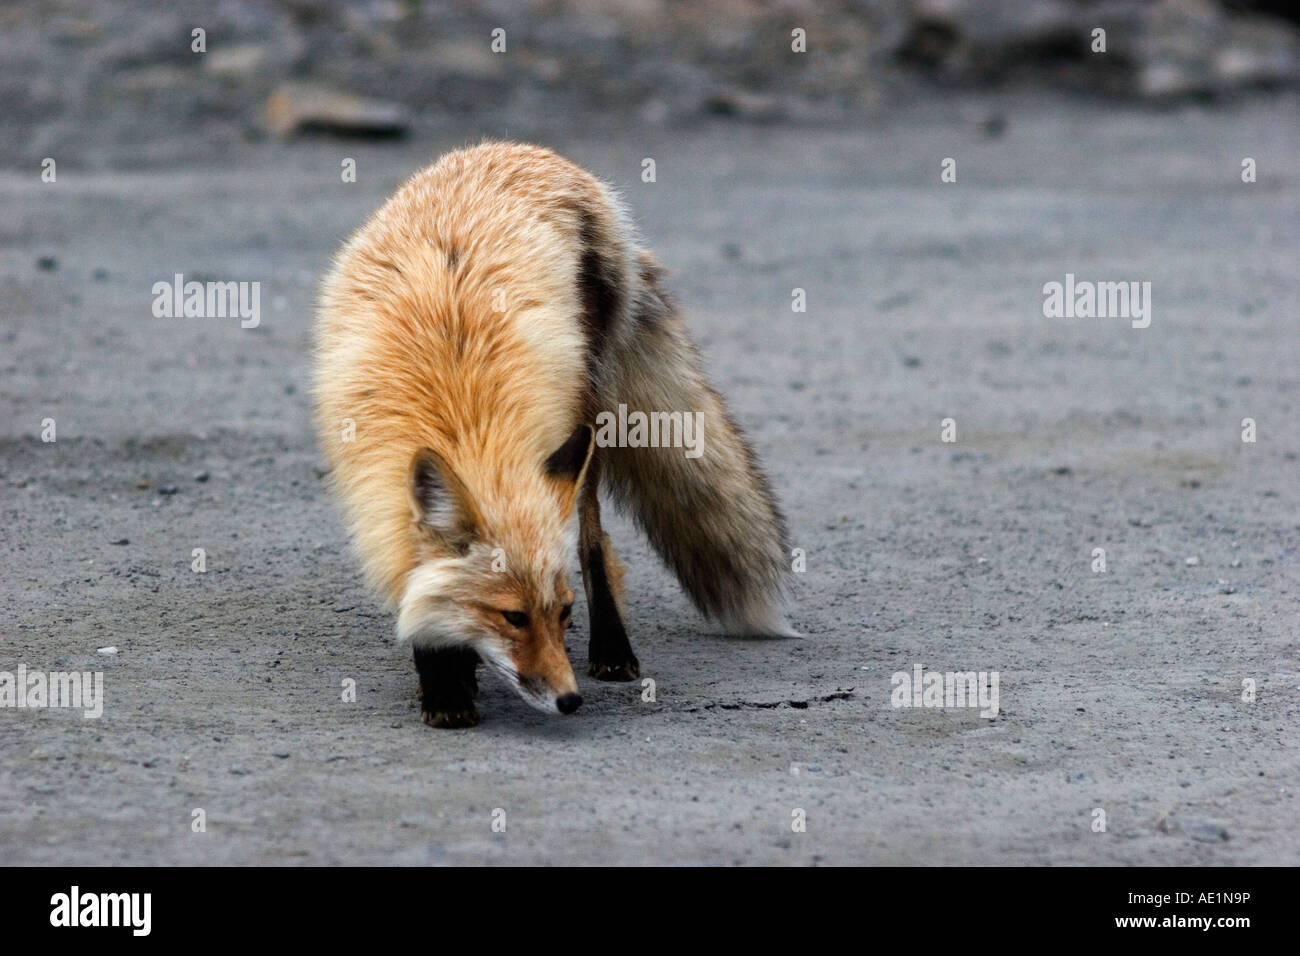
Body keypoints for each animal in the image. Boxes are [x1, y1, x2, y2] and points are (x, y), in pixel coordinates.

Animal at [313, 141, 792, 728]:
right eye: (513, 617)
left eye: (563, 613)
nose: (570, 700)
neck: (459, 414)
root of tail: (524, 149)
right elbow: (419, 582)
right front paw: (446, 680)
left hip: (587, 413)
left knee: (593, 541)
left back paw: (612, 648)